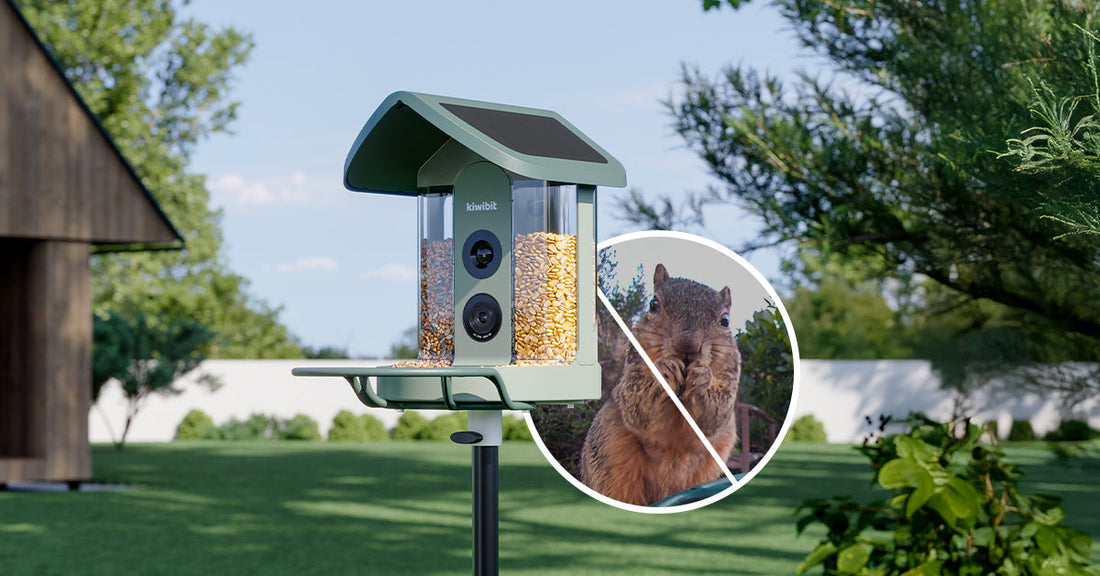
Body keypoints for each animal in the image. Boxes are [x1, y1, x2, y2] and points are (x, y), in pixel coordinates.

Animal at [579, 263, 741, 506]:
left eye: (725, 321)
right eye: (653, 305)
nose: (687, 345)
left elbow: (713, 417)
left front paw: (702, 379)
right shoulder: (633, 372)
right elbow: (638, 406)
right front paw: (665, 370)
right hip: (609, 453)